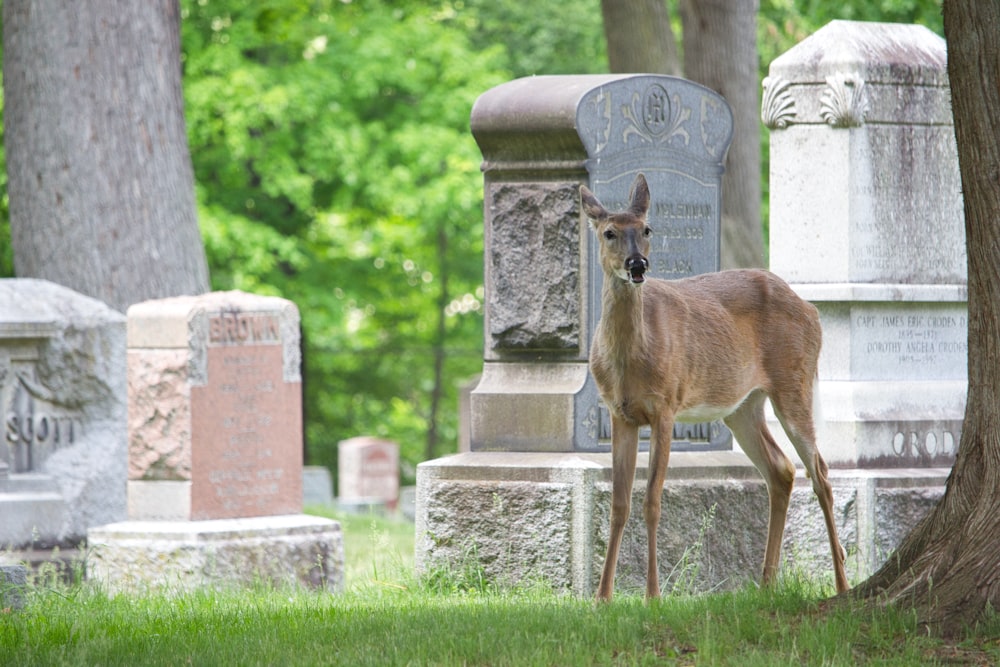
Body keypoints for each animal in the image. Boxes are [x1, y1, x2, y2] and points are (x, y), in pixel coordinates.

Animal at [584, 172, 848, 600]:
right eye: (609, 232)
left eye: (647, 229)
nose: (637, 264)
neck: (630, 359)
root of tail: (812, 309)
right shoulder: (619, 412)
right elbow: (619, 504)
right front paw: (602, 597)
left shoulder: (666, 406)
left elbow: (652, 500)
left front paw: (653, 595)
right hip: (743, 406)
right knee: (782, 470)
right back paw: (766, 584)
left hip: (794, 381)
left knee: (821, 473)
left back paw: (841, 584)